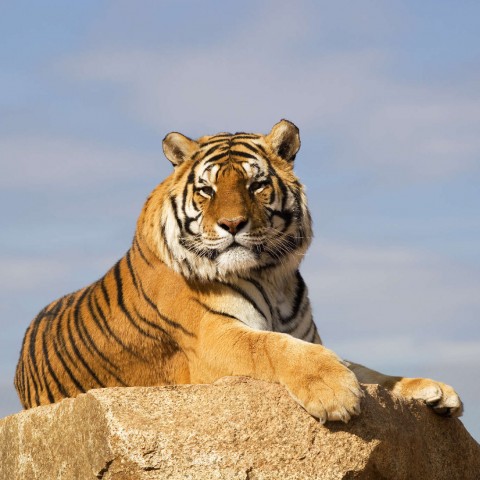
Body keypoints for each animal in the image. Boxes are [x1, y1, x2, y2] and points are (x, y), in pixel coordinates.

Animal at [15, 121, 464, 424]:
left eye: (255, 185)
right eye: (207, 190)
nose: (232, 224)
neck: (273, 278)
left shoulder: (309, 336)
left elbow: (368, 370)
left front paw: (434, 391)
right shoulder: (212, 337)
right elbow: (272, 347)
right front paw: (333, 391)